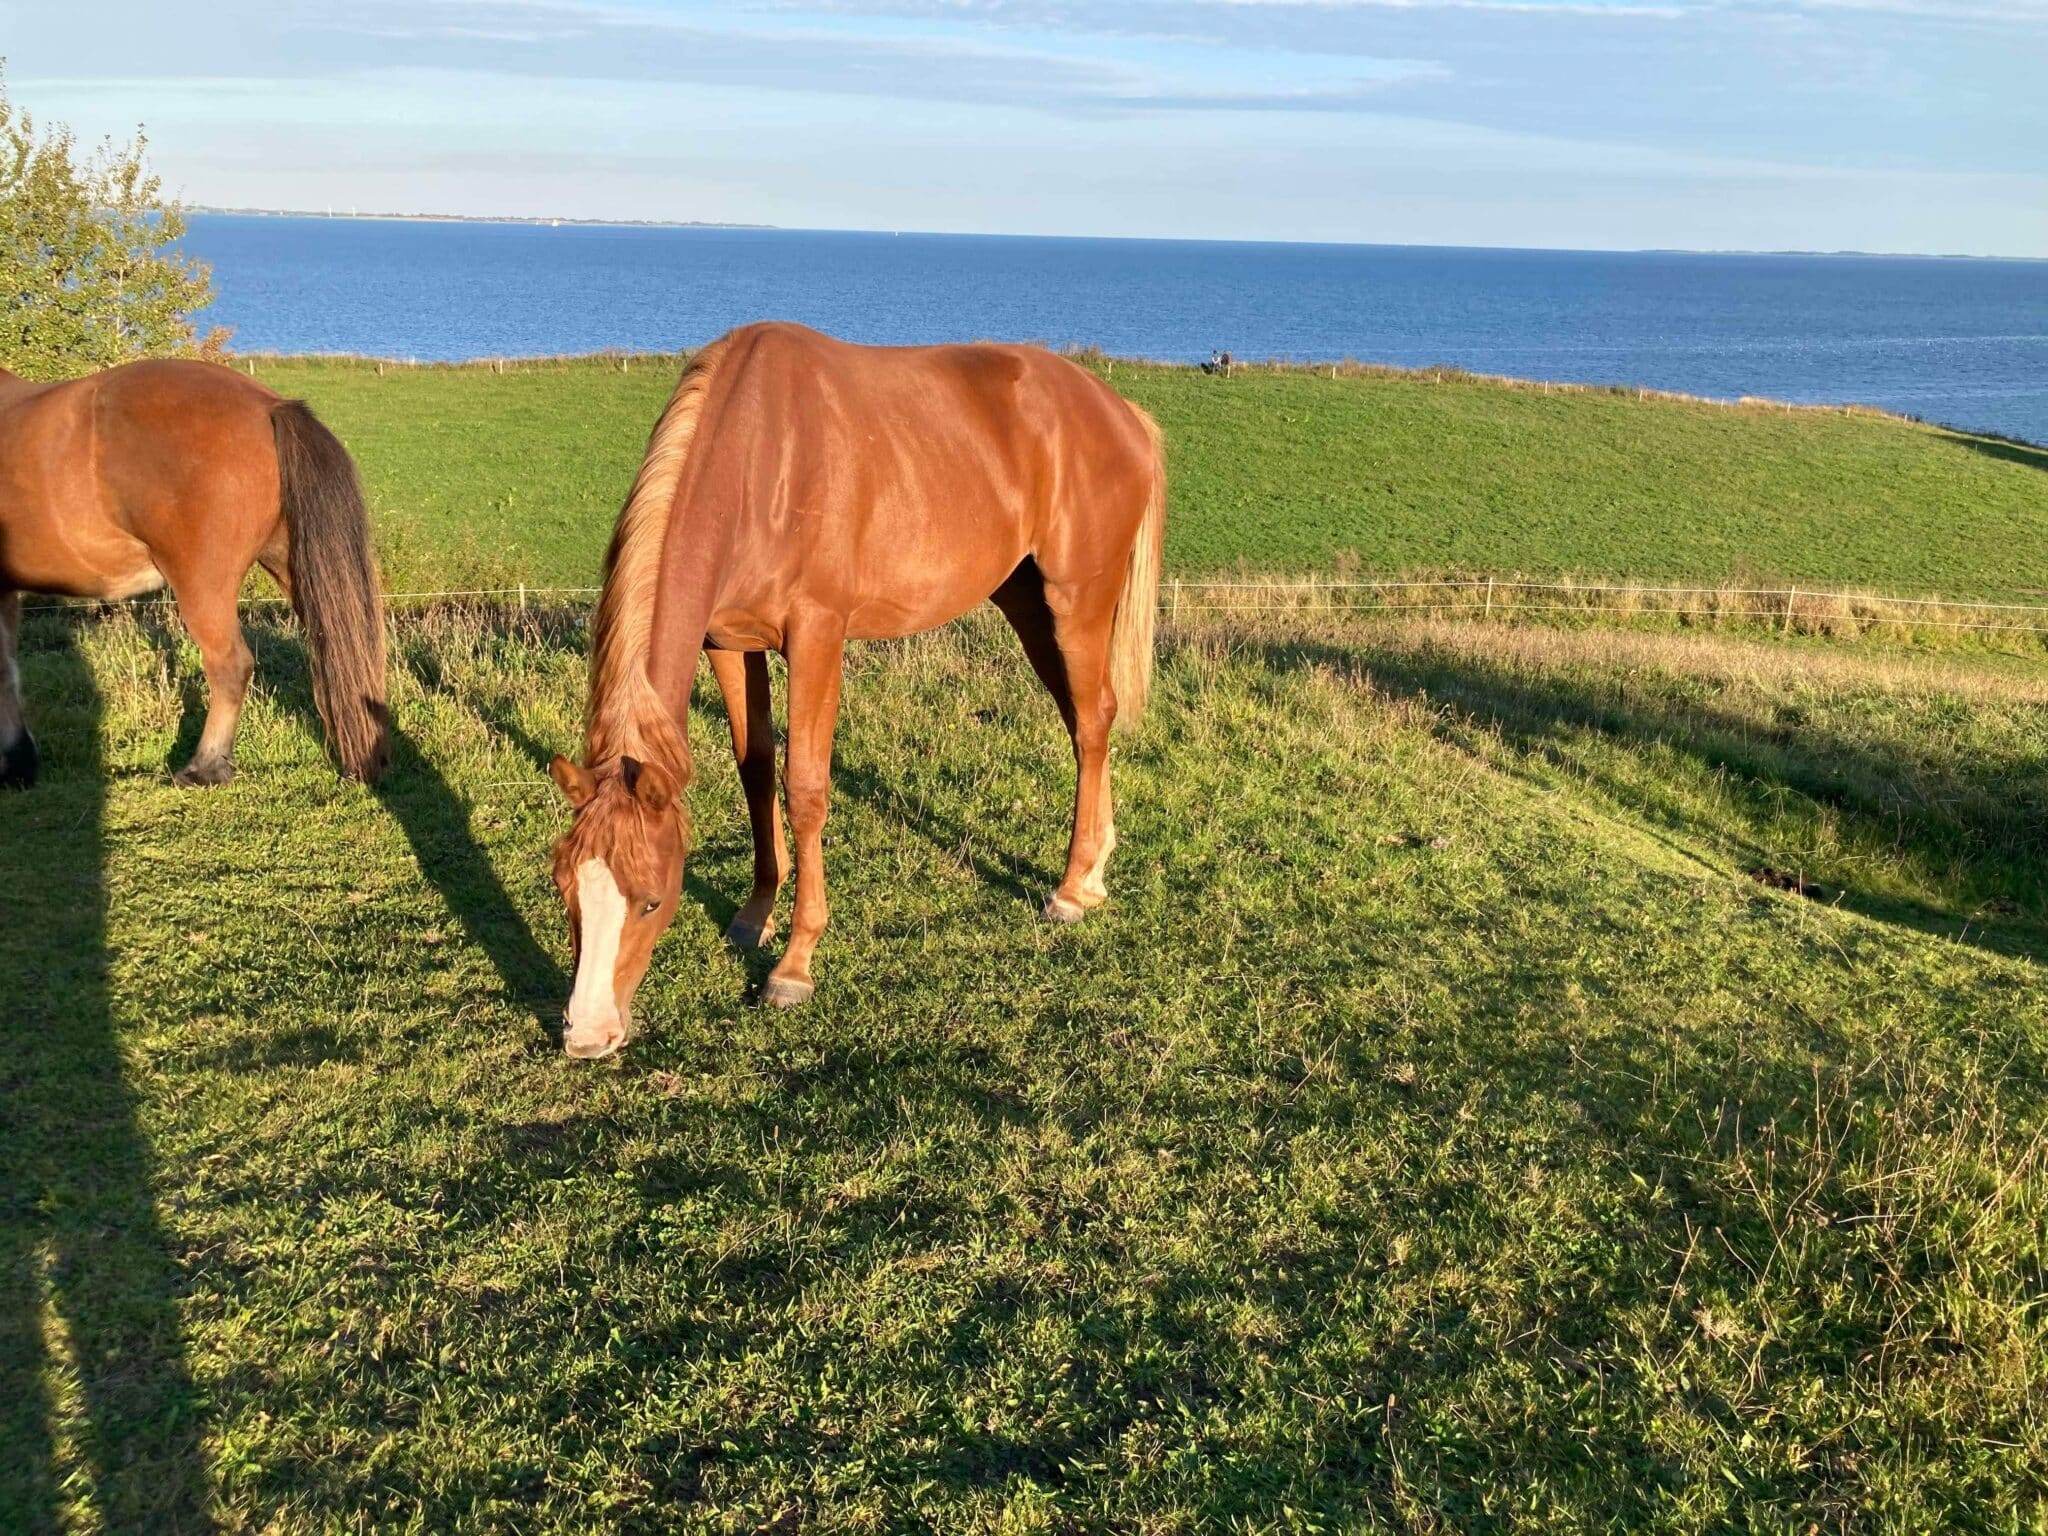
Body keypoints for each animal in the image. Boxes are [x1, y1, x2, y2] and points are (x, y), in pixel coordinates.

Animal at [0, 358, 389, 788]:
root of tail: (269, 406)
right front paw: (20, 763)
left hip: (202, 586)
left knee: (230, 665)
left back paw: (205, 767)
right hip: (295, 571)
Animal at [546, 322, 1166, 1058]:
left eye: (648, 899)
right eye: (564, 887)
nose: (587, 1034)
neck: (759, 460)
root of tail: (1121, 412)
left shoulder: (817, 636)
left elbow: (806, 789)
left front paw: (794, 964)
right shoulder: (728, 643)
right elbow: (756, 768)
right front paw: (756, 912)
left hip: (1075, 601)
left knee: (1094, 722)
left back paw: (1072, 887)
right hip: (1025, 600)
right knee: (1083, 719)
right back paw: (1095, 870)